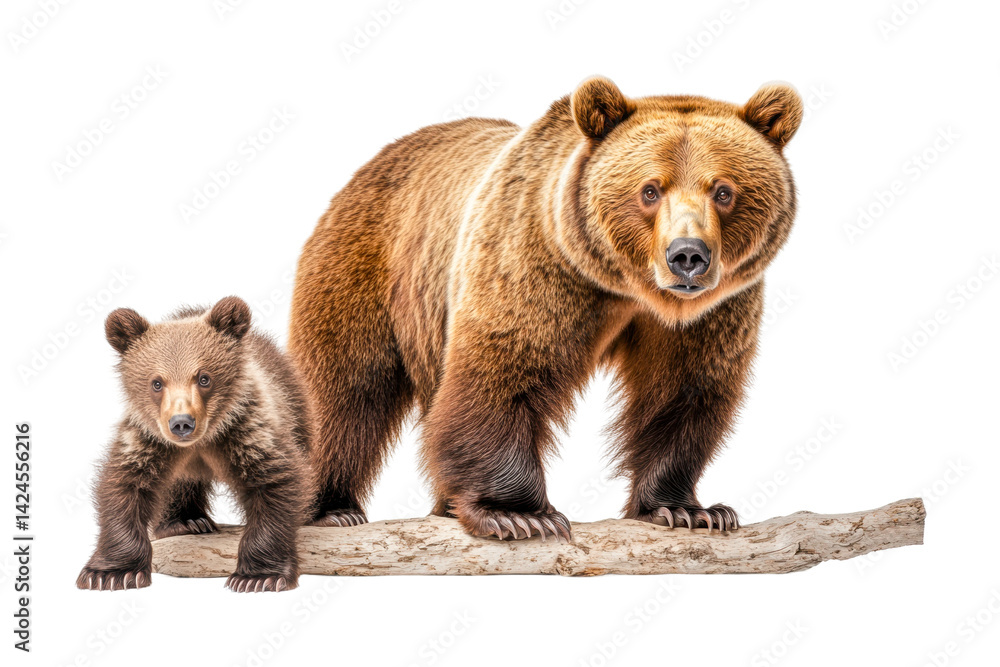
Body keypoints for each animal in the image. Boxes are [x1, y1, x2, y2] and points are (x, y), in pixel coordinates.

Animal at [77, 296, 314, 592]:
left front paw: (259, 576)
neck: (204, 439)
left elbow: (275, 484)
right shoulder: (149, 439)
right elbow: (125, 485)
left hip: (296, 407)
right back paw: (187, 521)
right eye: (156, 383)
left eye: (204, 378)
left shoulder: (247, 430)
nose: (181, 423)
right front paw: (110, 573)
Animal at [289, 77, 801, 540]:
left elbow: (684, 391)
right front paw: (518, 514)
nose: (688, 255)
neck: (627, 287)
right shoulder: (536, 262)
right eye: (650, 190)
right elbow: (507, 369)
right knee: (343, 387)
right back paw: (332, 509)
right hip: (368, 266)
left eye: (724, 190)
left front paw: (687, 509)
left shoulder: (711, 312)